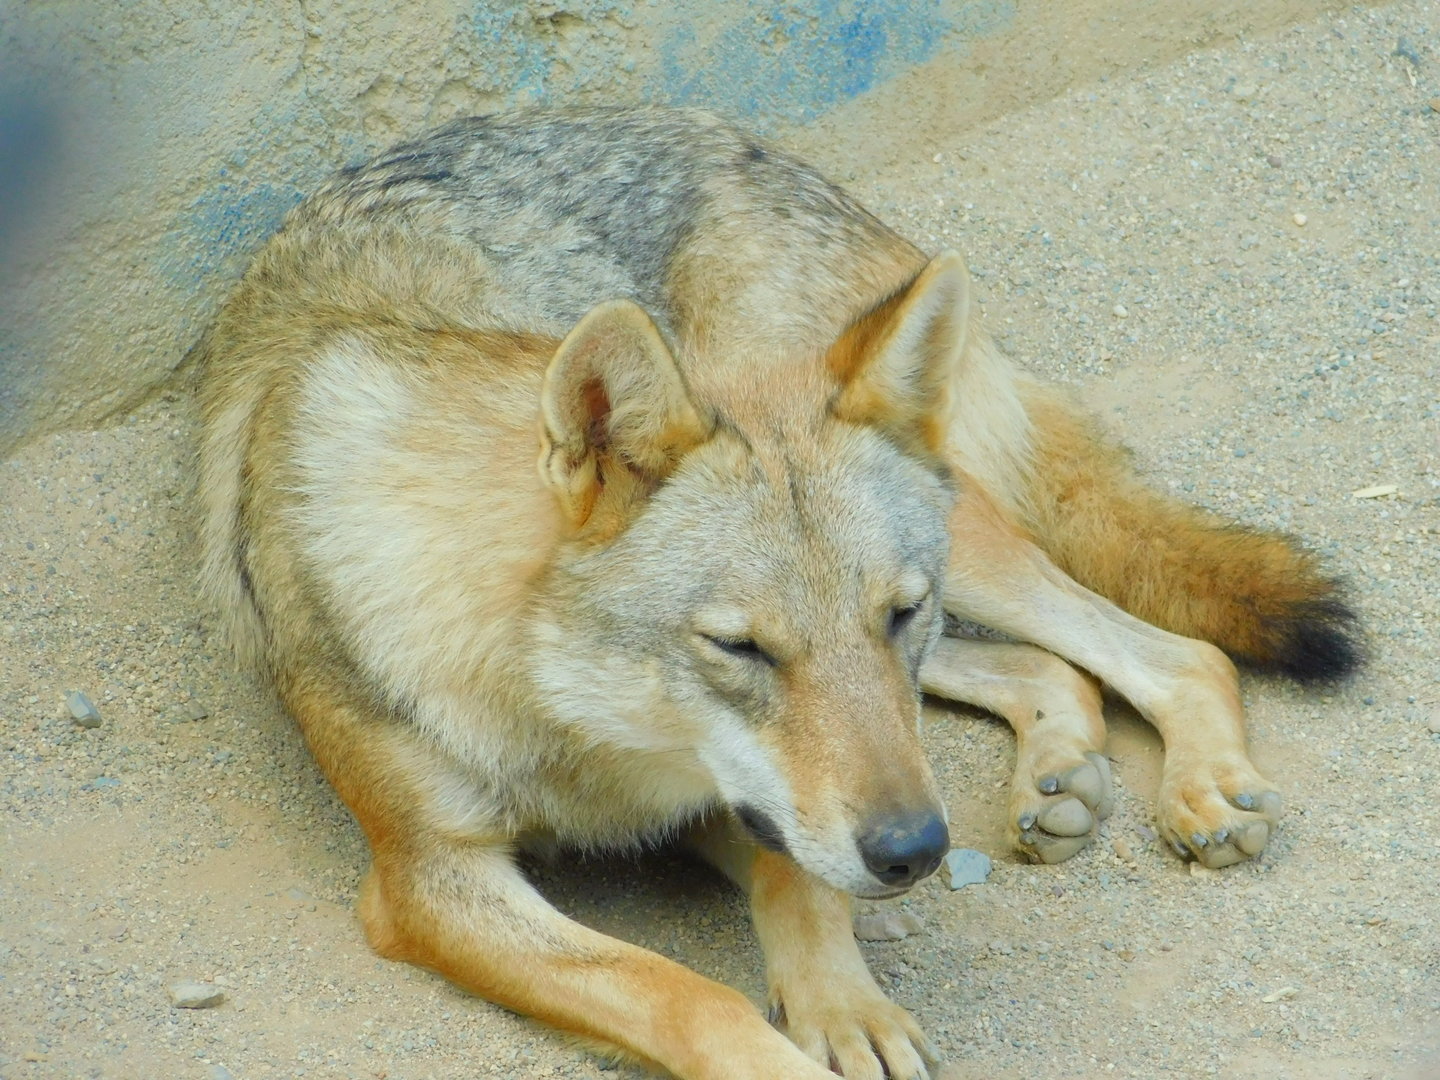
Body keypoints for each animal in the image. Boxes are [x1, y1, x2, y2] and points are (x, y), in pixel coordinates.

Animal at [195, 107, 1358, 1079]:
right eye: (741, 648)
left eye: (894, 613)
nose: (918, 854)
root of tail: (734, 135)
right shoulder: (432, 884)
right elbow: (680, 990)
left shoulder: (737, 798)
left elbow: (796, 889)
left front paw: (849, 1006)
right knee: (1054, 669)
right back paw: (1060, 776)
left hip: (974, 561)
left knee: (1170, 651)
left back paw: (1202, 790)